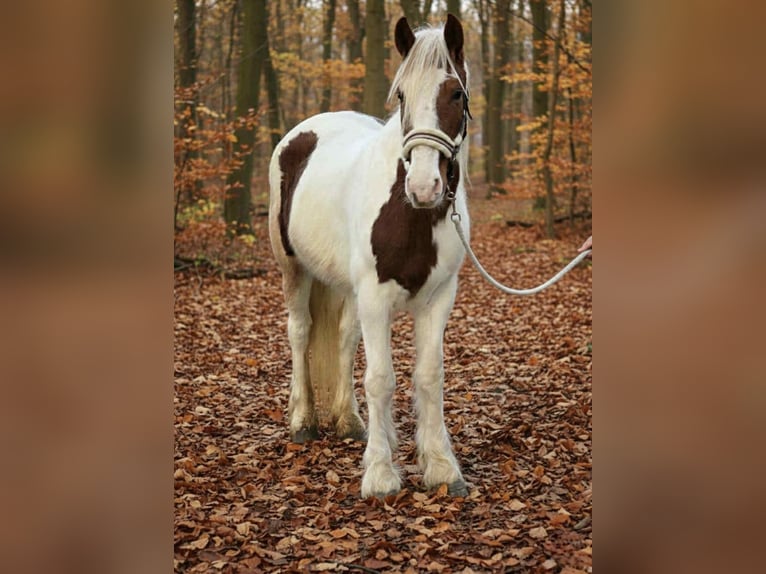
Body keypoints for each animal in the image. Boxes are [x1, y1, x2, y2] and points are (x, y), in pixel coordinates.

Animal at [268, 15, 472, 499]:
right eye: (401, 96)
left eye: (455, 93)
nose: (424, 187)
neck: (412, 215)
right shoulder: (377, 298)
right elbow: (381, 379)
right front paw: (380, 475)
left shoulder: (440, 298)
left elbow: (429, 376)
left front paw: (441, 468)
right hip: (293, 268)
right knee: (300, 332)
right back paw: (303, 421)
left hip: (347, 287)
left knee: (343, 337)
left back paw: (349, 421)